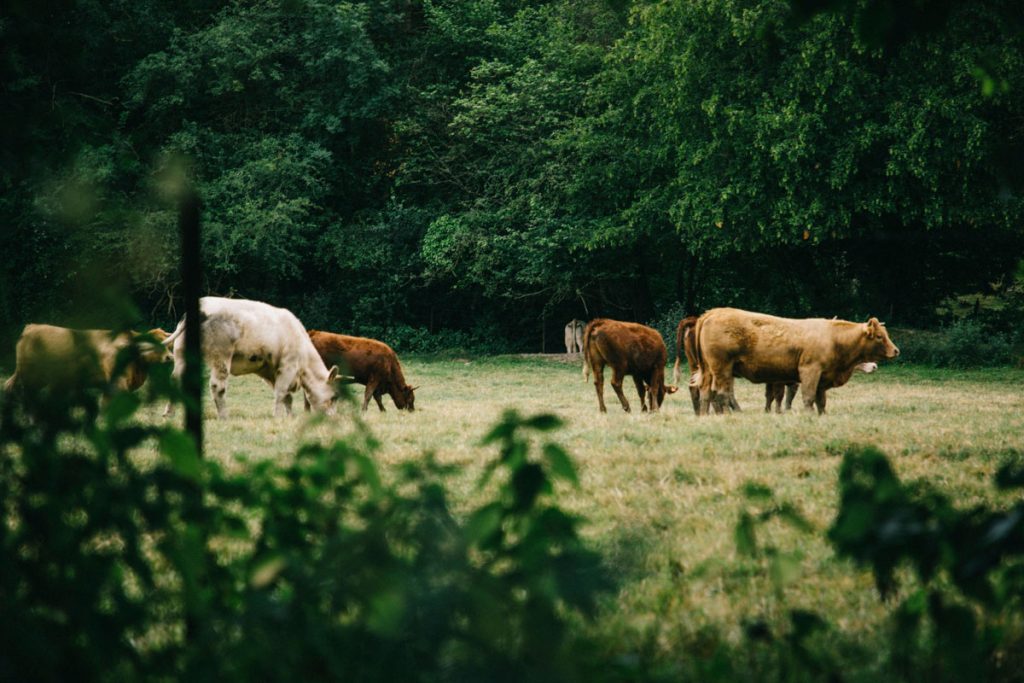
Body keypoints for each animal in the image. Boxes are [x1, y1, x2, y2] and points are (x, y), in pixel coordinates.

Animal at [3, 324, 171, 402]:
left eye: (169, 346)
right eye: (155, 344)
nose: (169, 357)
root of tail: (31, 327)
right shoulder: (117, 383)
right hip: (31, 377)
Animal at [162, 297, 339, 418]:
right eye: (333, 397)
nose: (334, 417)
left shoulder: (270, 371)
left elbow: (286, 396)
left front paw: (289, 416)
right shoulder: (288, 366)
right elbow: (281, 393)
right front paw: (278, 417)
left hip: (181, 354)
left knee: (175, 380)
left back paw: (168, 413)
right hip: (222, 355)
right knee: (217, 386)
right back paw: (224, 416)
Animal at [691, 308, 898, 415]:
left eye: (885, 333)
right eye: (879, 336)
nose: (896, 350)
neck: (833, 337)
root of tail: (713, 313)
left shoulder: (823, 378)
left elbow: (821, 401)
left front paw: (822, 415)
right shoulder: (810, 372)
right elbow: (808, 398)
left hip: (710, 371)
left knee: (706, 393)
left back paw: (705, 415)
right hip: (723, 370)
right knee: (722, 394)